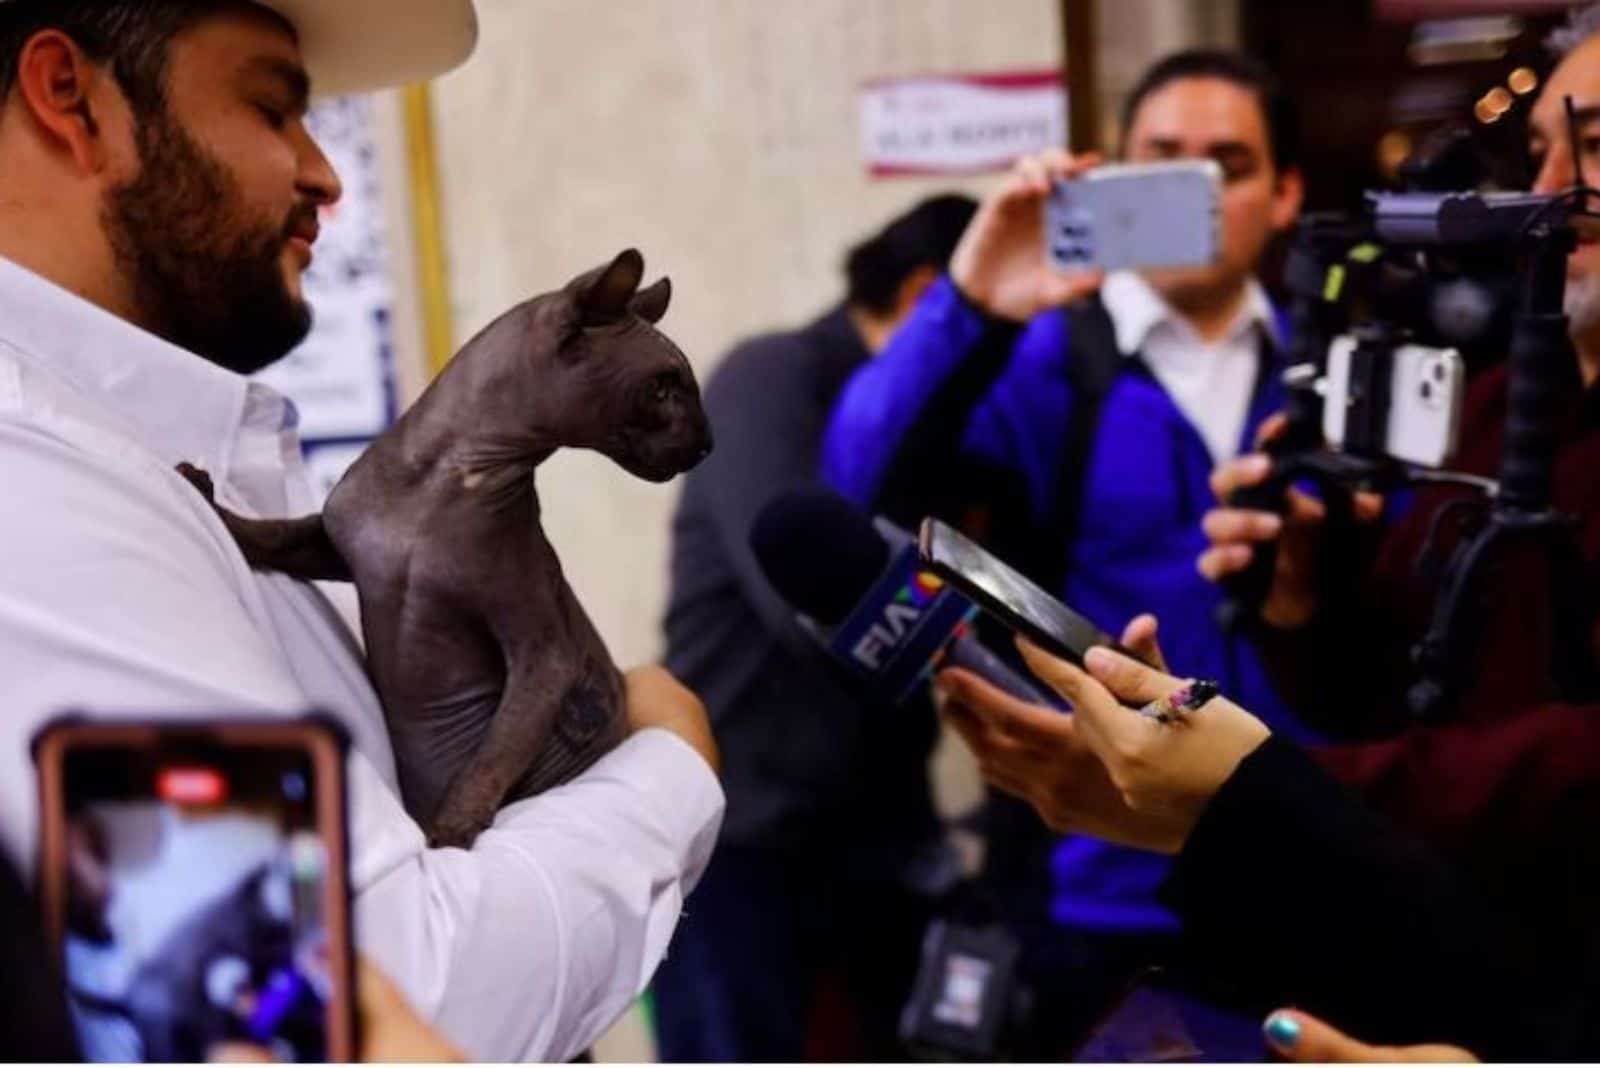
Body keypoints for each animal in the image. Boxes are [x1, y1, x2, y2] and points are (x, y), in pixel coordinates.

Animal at [181, 251, 713, 850]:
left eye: (679, 387)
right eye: (664, 389)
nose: (707, 443)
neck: (442, 484)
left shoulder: (544, 650)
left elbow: (494, 754)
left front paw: (451, 830)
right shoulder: (335, 544)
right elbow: (275, 533)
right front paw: (210, 502)